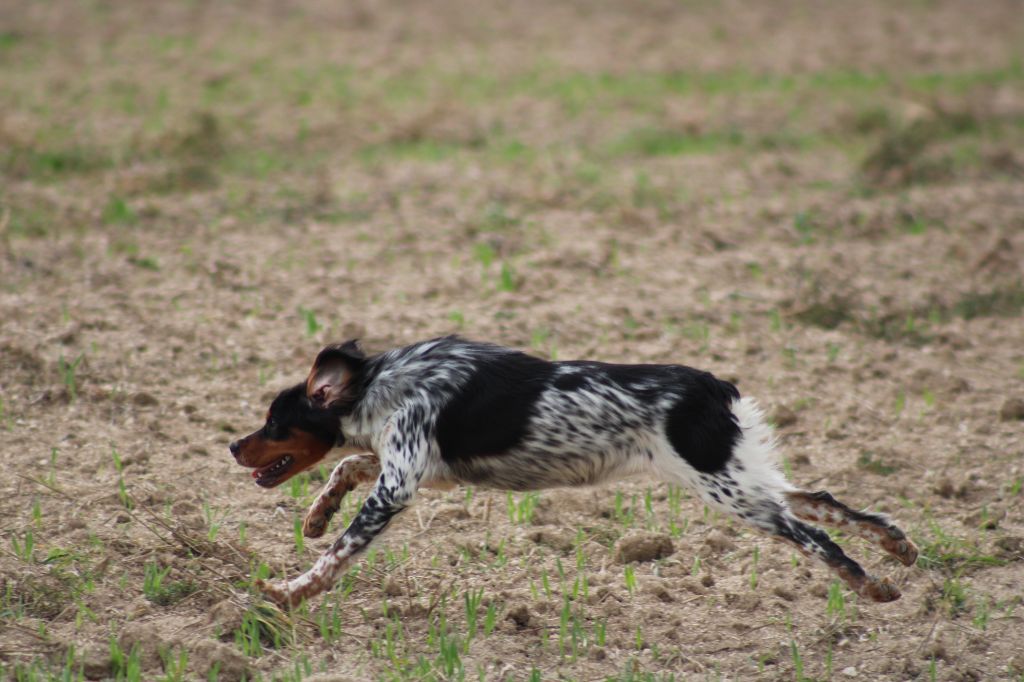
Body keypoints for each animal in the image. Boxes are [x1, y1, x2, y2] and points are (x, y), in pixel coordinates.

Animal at [228, 333, 917, 606]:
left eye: (272, 422)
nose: (234, 447)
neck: (380, 384)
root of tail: (713, 387)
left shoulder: (400, 483)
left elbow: (337, 555)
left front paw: (286, 591)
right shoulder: (415, 467)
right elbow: (345, 463)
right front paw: (316, 516)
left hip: (729, 490)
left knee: (815, 533)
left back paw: (873, 586)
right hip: (737, 474)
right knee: (824, 500)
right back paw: (899, 549)